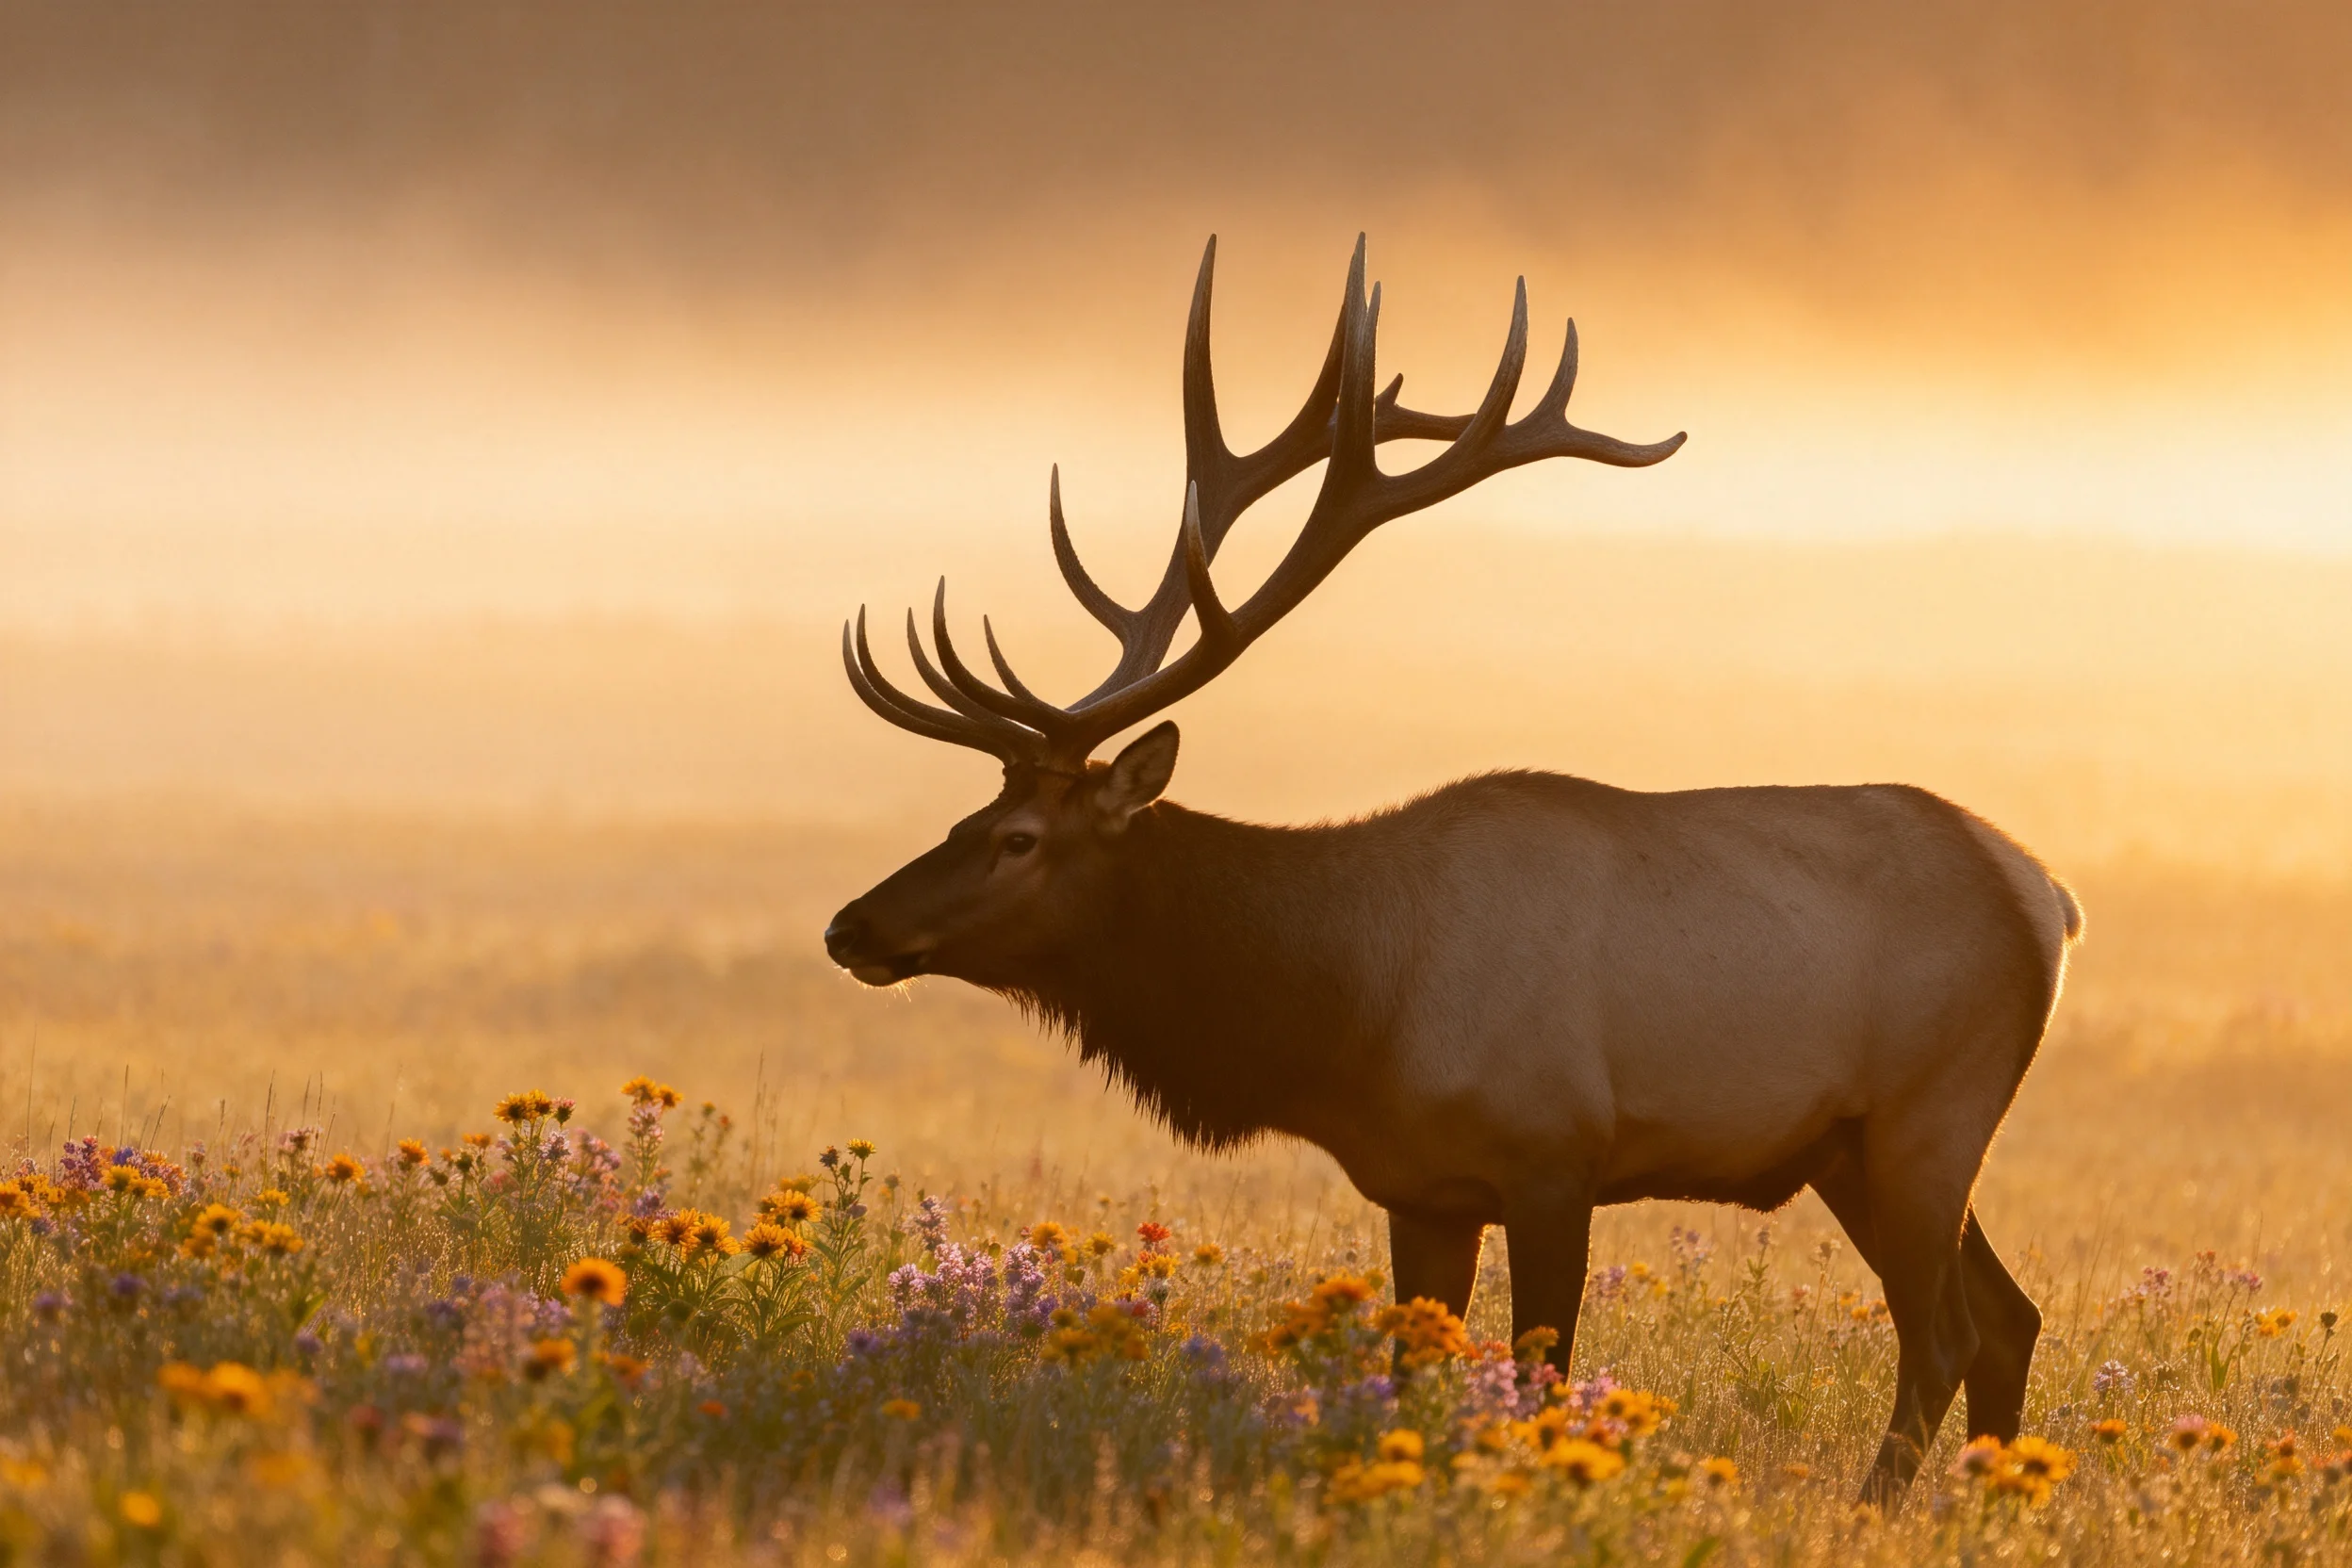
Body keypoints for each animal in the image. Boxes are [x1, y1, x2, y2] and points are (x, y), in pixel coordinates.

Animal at [823, 237, 2081, 1503]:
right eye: (972, 810)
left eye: (1020, 838)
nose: (850, 926)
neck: (1350, 1013)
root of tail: (2047, 896)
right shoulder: (1420, 1188)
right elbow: (1414, 1376)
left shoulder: (1556, 1153)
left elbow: (1540, 1377)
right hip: (1852, 1146)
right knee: (2009, 1319)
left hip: (1933, 1113)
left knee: (1946, 1332)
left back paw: (1879, 1510)